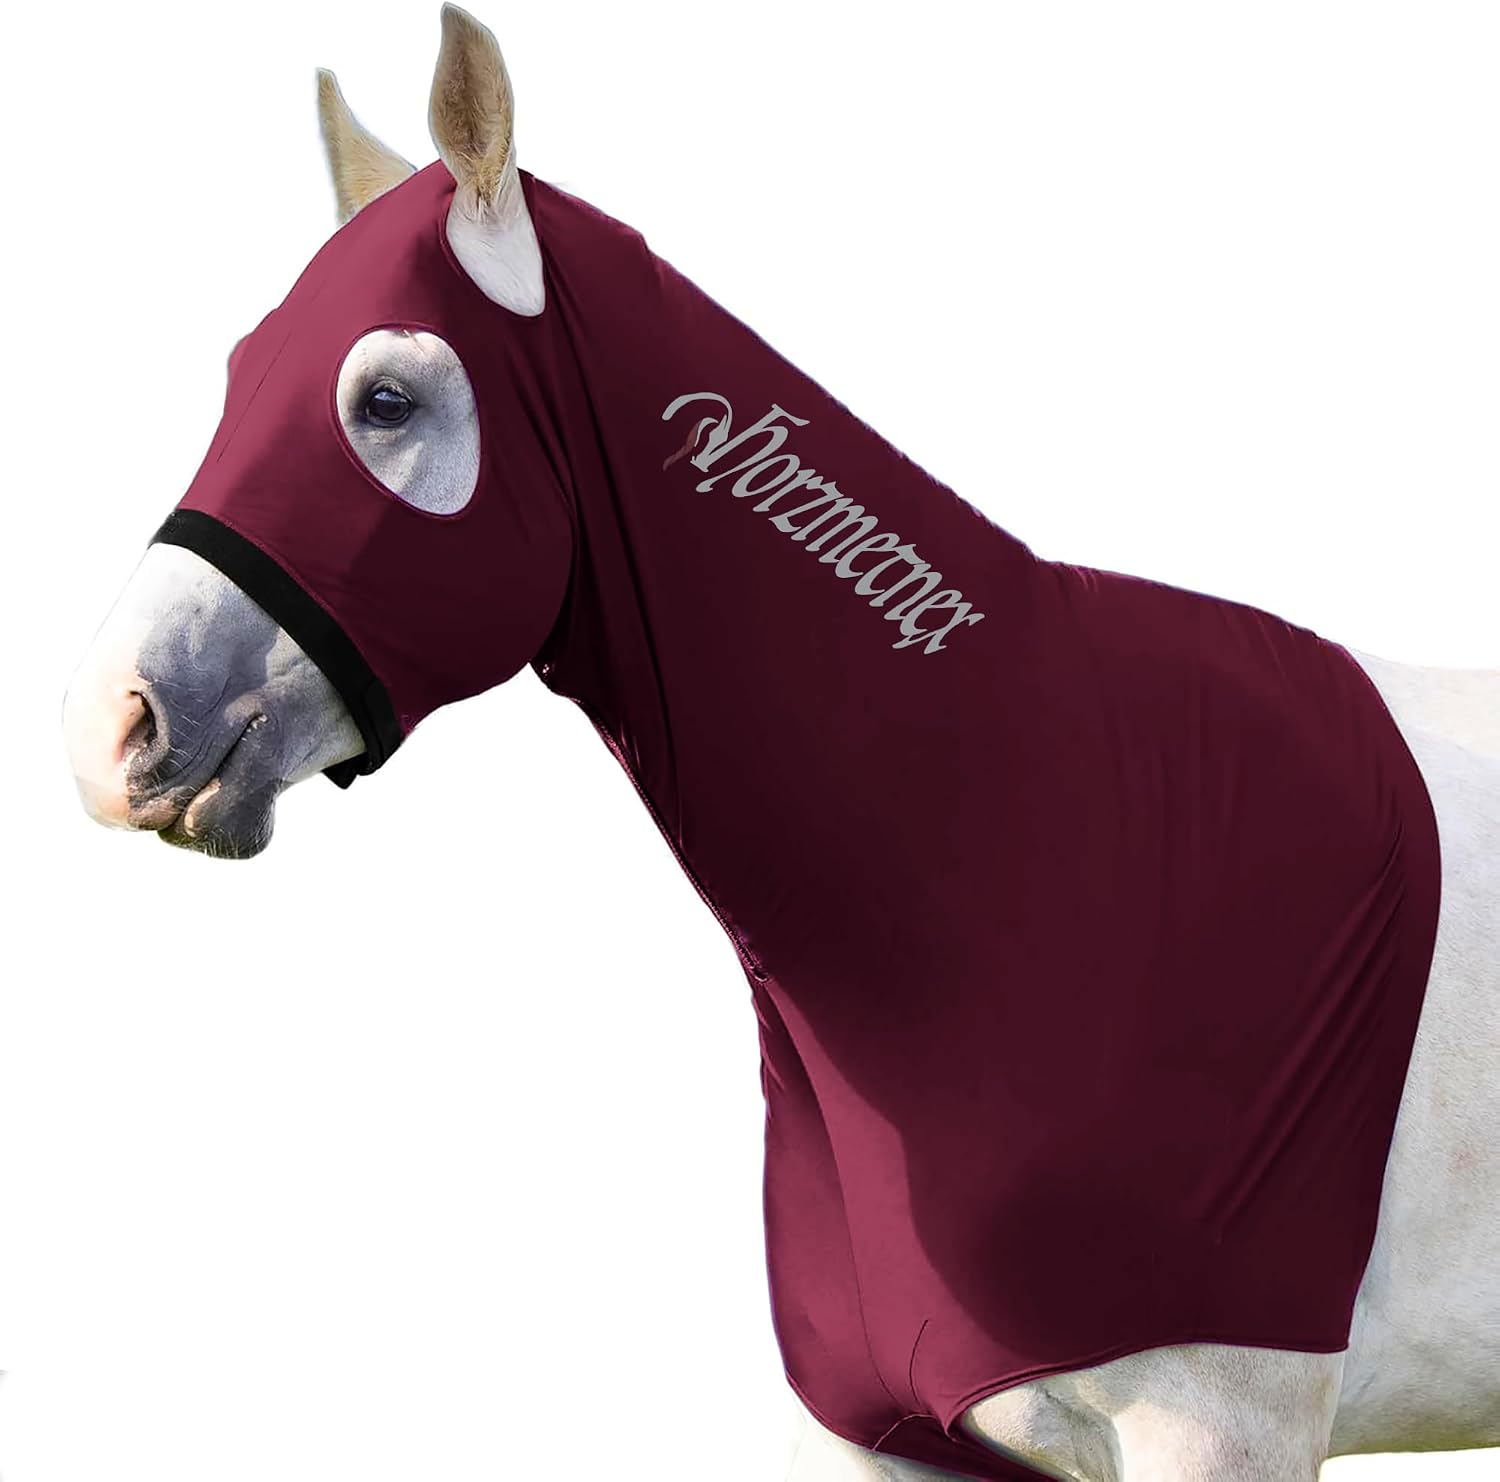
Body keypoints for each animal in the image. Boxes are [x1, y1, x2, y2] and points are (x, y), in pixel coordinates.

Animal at [61, 7, 1498, 1478]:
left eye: (386, 399)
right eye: (240, 375)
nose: (113, 724)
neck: (1038, 851)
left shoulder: (1221, 1428)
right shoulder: (897, 1438)